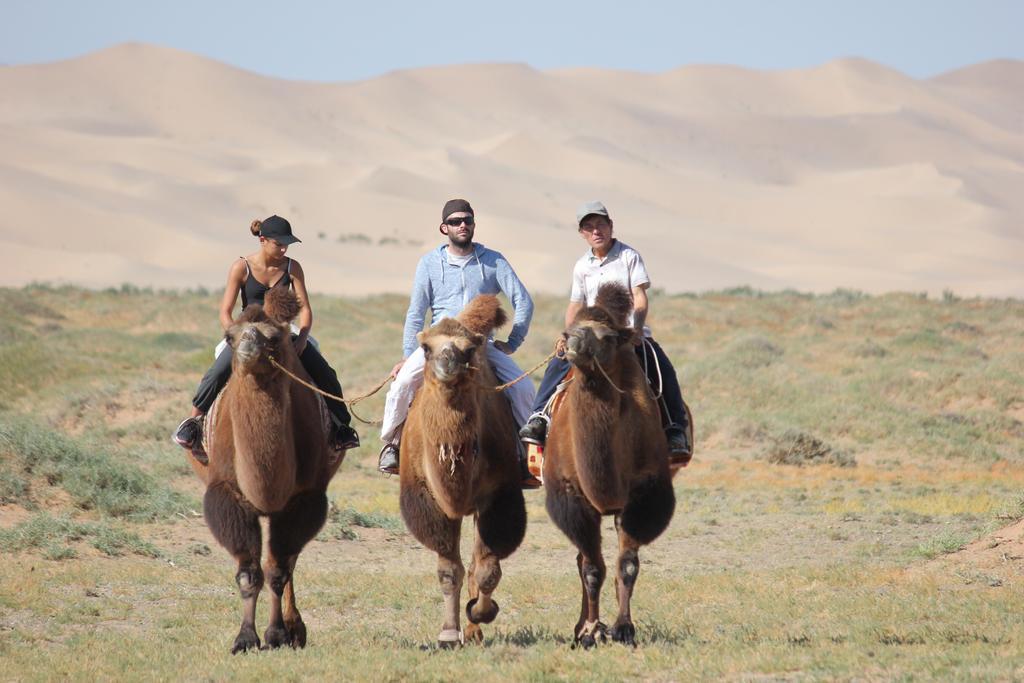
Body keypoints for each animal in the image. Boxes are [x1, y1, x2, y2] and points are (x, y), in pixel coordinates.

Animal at [192, 286, 348, 655]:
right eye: (230, 336)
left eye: (275, 338)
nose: (248, 346)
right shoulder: (227, 493)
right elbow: (249, 573)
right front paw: (245, 638)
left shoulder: (304, 498)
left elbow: (277, 570)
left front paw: (276, 634)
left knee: (287, 562)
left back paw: (295, 629)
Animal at [397, 294, 528, 647]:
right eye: (426, 347)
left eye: (468, 349)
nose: (447, 361)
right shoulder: (431, 500)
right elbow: (448, 571)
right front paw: (448, 633)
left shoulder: (498, 496)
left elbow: (486, 570)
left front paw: (481, 613)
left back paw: (475, 629)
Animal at [544, 282, 679, 647]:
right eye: (569, 329)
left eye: (605, 337)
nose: (572, 343)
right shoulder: (573, 498)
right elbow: (592, 569)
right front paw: (592, 631)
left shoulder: (643, 494)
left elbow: (627, 565)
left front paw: (623, 628)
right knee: (583, 560)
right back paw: (581, 628)